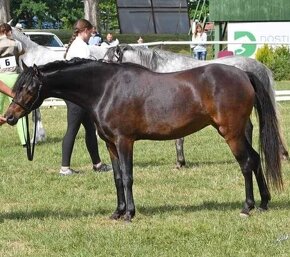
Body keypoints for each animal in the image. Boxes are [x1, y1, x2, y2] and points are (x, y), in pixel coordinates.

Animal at [5, 58, 284, 220]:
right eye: (17, 86)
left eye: (28, 88)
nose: (8, 116)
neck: (105, 88)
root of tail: (243, 74)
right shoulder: (110, 144)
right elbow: (117, 178)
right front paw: (117, 212)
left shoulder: (124, 141)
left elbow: (128, 177)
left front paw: (129, 213)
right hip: (241, 131)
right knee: (256, 160)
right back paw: (264, 203)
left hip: (231, 133)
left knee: (246, 163)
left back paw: (247, 207)